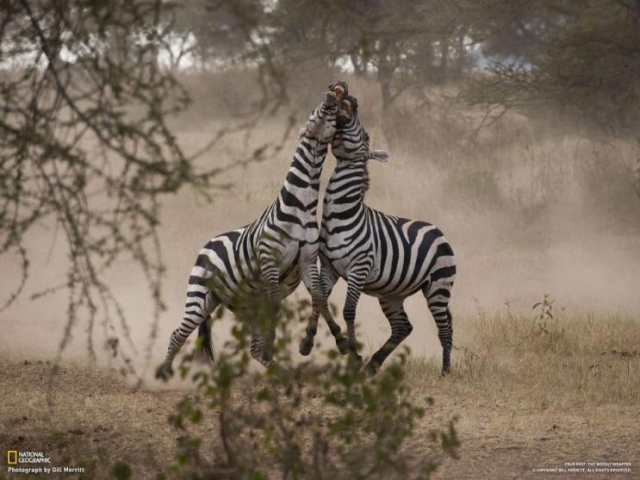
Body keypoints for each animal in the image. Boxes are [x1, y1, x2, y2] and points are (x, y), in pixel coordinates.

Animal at [156, 84, 350, 380]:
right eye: (315, 111)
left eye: (333, 111)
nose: (332, 91)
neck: (302, 204)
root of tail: (207, 243)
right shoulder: (269, 260)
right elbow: (276, 304)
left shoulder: (306, 261)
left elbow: (318, 298)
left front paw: (337, 341)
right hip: (199, 295)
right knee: (178, 333)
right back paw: (164, 371)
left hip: (240, 304)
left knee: (252, 349)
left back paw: (278, 368)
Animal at [298, 95, 456, 376]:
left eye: (366, 135)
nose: (352, 98)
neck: (341, 214)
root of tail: (438, 230)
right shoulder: (329, 268)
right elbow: (320, 299)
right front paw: (307, 342)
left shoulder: (359, 269)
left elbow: (349, 311)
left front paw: (352, 355)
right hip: (392, 294)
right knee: (403, 326)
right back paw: (374, 365)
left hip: (438, 286)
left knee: (444, 327)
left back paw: (445, 371)